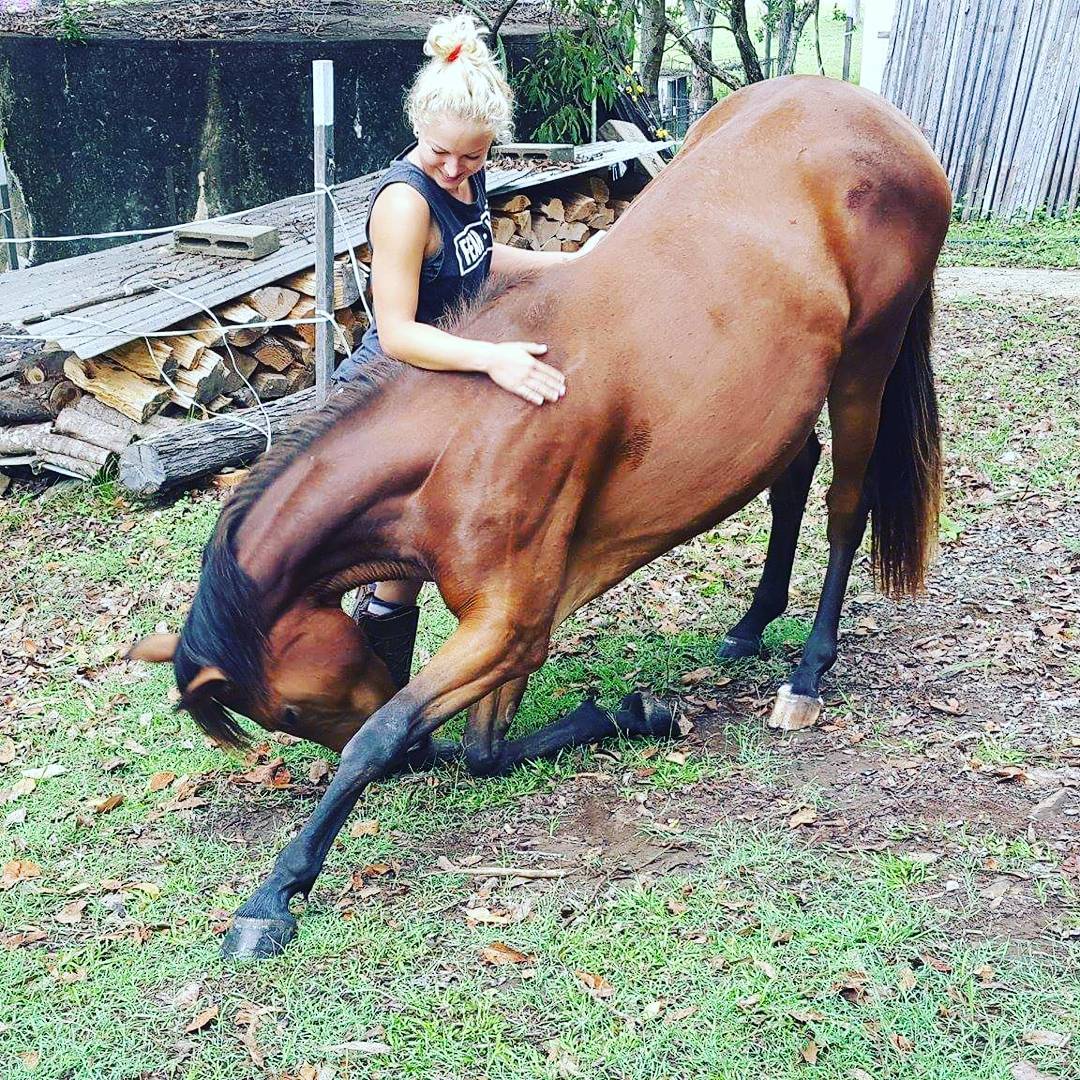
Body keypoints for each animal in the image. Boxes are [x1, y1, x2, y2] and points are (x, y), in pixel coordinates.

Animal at [130, 73, 950, 963]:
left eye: (287, 712)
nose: (418, 764)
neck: (469, 424)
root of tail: (881, 121)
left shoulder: (511, 622)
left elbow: (380, 733)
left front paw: (277, 891)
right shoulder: (514, 620)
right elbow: (485, 752)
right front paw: (631, 713)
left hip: (867, 361)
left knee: (845, 508)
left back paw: (806, 674)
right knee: (792, 477)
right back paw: (751, 625)